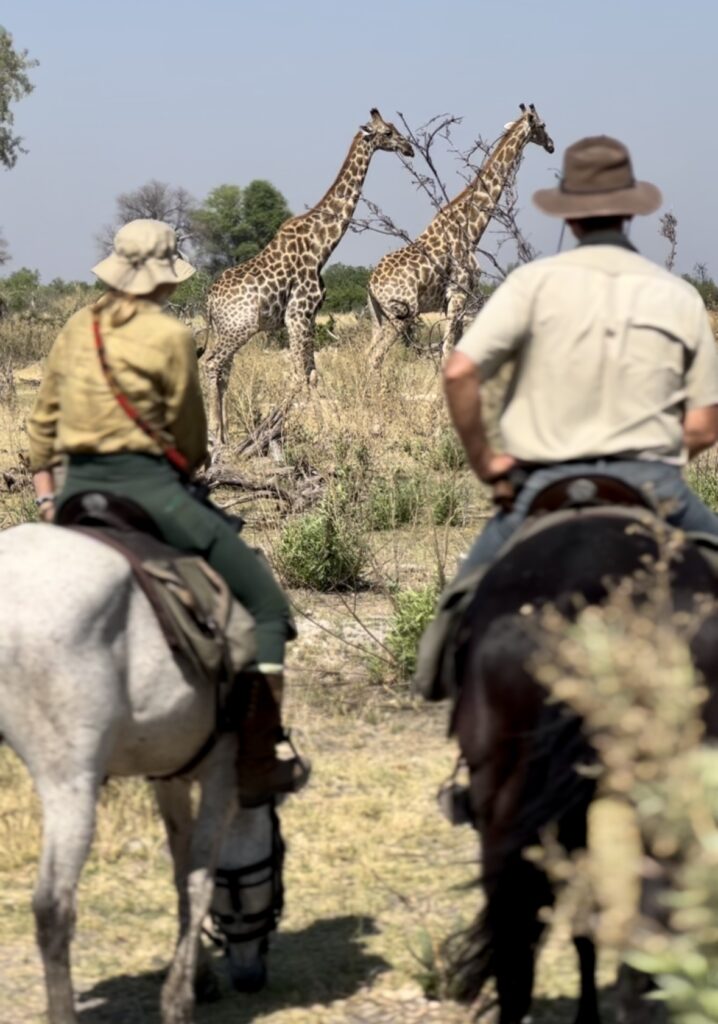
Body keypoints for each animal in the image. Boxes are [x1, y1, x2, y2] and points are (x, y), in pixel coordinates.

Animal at [0, 522, 286, 1024]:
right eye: (278, 855)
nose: (250, 979)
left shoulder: (168, 775)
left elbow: (181, 868)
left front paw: (200, 978)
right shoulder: (223, 776)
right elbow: (200, 879)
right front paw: (178, 1000)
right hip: (69, 783)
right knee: (53, 907)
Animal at [203, 109, 414, 443]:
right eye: (388, 133)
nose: (410, 149)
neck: (321, 245)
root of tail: (209, 301)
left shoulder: (310, 315)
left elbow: (312, 374)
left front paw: (324, 430)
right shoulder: (297, 314)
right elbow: (298, 375)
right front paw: (285, 430)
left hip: (228, 330)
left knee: (223, 370)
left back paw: (224, 435)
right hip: (239, 328)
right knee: (212, 365)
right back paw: (214, 435)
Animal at [367, 104, 554, 369]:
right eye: (542, 125)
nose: (551, 145)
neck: (471, 231)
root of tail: (371, 284)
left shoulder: (453, 301)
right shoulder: (458, 293)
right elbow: (447, 352)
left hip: (378, 315)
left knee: (367, 353)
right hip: (401, 313)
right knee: (375, 357)